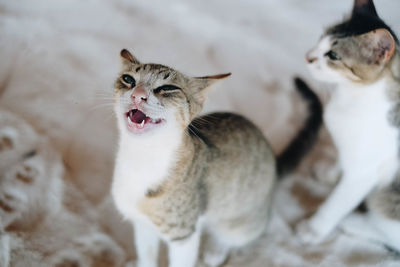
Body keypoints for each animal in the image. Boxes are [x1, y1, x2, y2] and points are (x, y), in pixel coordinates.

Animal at [111, 48, 322, 267]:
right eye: (128, 79)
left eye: (167, 88)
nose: (138, 95)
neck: (141, 156)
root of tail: (273, 159)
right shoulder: (141, 224)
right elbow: (146, 256)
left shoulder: (184, 236)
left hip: (241, 222)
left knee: (235, 233)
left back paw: (216, 250)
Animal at [296, 0, 400, 253]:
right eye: (320, 38)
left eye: (333, 55)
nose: (307, 57)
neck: (352, 97)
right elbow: (341, 162)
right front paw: (330, 174)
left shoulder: (363, 173)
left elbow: (336, 203)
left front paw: (313, 230)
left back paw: (354, 223)